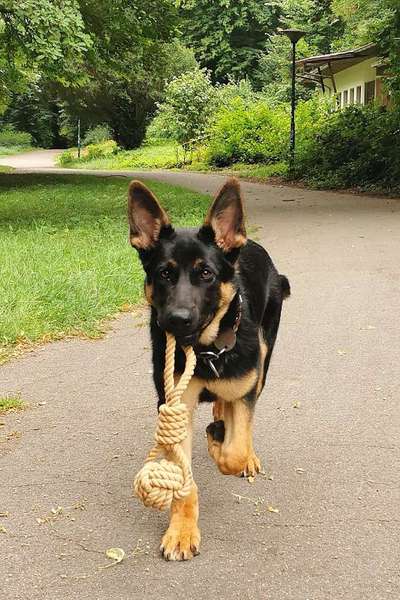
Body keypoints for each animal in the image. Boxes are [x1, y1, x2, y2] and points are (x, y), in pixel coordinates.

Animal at [129, 178, 290, 564]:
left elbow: (235, 450)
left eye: (206, 274)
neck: (206, 352)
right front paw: (182, 531)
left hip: (264, 361)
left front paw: (223, 444)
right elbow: (184, 483)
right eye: (164, 273)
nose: (177, 320)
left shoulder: (245, 389)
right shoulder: (176, 409)